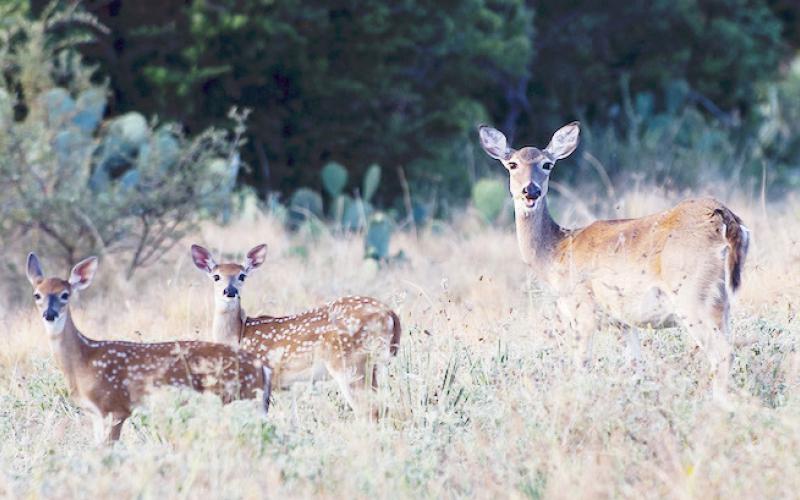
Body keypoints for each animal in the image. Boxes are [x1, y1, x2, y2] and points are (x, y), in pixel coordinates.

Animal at [25, 253, 272, 444]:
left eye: (65, 294)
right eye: (37, 294)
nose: (49, 314)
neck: (83, 360)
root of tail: (262, 368)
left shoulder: (116, 405)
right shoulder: (94, 413)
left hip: (238, 396)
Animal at [190, 243, 401, 416]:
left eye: (242, 276)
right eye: (216, 276)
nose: (230, 291)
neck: (238, 334)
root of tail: (390, 314)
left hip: (348, 361)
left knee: (369, 410)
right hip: (369, 364)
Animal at [478, 122, 749, 388]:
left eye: (547, 164)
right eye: (512, 164)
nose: (530, 191)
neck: (557, 250)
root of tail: (723, 216)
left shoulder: (582, 310)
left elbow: (582, 365)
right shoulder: (625, 322)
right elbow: (636, 365)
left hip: (692, 294)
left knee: (722, 354)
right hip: (720, 300)